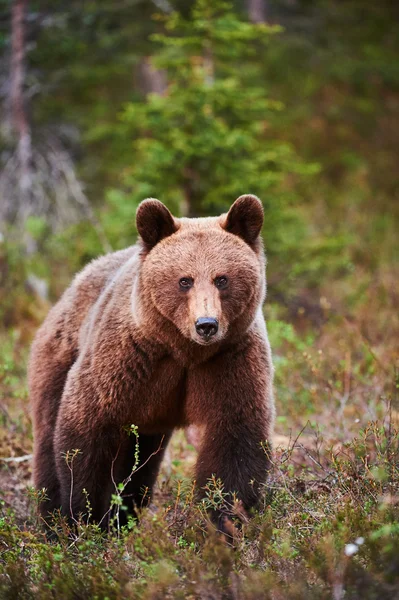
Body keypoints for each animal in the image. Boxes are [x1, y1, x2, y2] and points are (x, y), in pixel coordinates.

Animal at [28, 196, 276, 536]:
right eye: (184, 280)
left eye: (222, 279)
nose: (206, 325)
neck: (183, 351)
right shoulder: (126, 360)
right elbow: (88, 430)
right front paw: (85, 518)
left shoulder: (230, 359)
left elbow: (236, 439)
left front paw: (224, 522)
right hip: (60, 356)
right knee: (49, 434)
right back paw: (53, 521)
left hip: (149, 421)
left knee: (140, 467)